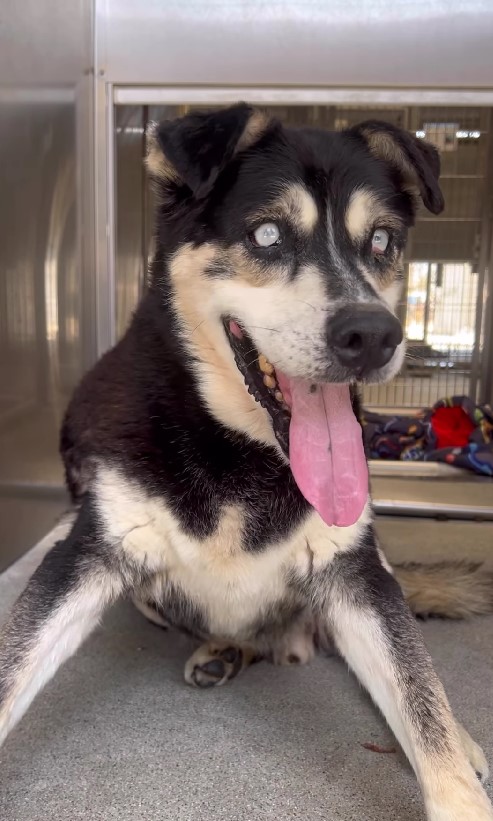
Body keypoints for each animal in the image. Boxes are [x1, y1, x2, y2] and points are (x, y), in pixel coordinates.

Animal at [0, 105, 492, 816]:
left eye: (380, 240)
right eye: (267, 235)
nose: (373, 335)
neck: (241, 454)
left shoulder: (355, 571)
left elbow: (419, 693)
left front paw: (457, 778)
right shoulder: (89, 551)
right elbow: (12, 671)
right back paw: (225, 650)